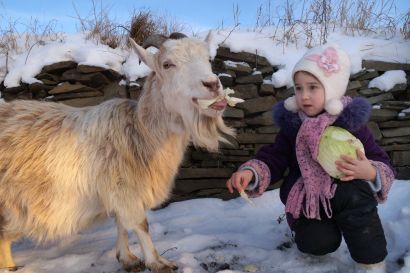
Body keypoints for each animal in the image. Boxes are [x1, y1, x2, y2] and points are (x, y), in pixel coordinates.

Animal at [0, 34, 234, 272]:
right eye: (168, 64)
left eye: (208, 59)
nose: (212, 84)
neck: (140, 131)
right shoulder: (124, 187)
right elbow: (140, 224)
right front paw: (158, 262)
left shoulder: (121, 191)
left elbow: (121, 222)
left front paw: (127, 258)